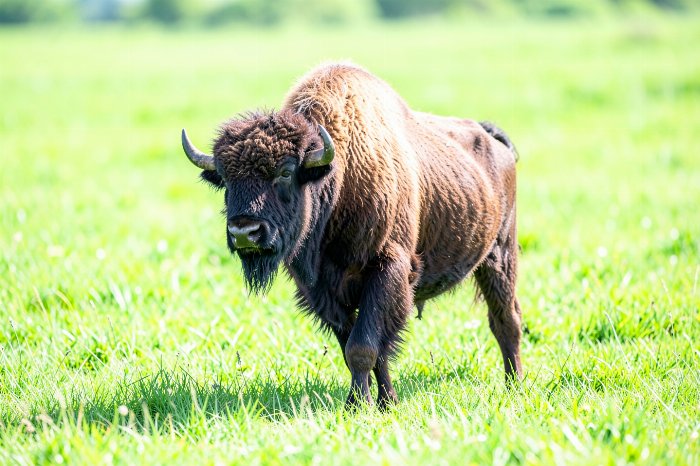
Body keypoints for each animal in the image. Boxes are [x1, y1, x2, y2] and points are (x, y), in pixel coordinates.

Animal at [181, 62, 522, 409]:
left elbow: (364, 346)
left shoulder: (387, 270)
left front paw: (359, 405)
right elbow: (359, 348)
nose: (245, 232)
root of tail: (492, 138)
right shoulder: (321, 290)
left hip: (500, 256)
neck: (336, 177)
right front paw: (380, 401)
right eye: (224, 179)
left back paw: (515, 386)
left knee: (506, 320)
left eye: (286, 173)